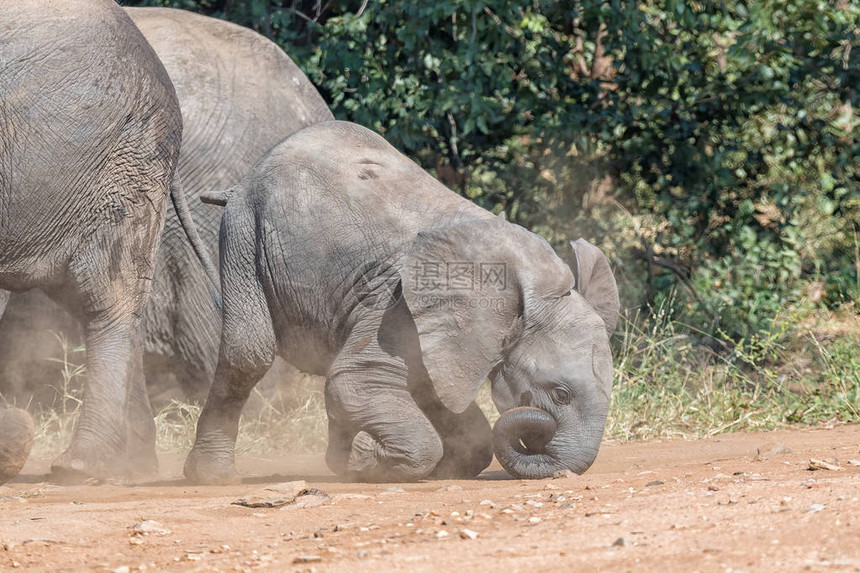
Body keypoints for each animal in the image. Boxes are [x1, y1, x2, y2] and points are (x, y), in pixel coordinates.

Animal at [186, 120, 620, 482]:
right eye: (560, 394)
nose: (557, 468)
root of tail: (240, 184)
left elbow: (436, 397)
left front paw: (360, 459)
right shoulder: (395, 306)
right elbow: (355, 380)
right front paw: (362, 458)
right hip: (245, 231)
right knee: (250, 351)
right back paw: (213, 477)